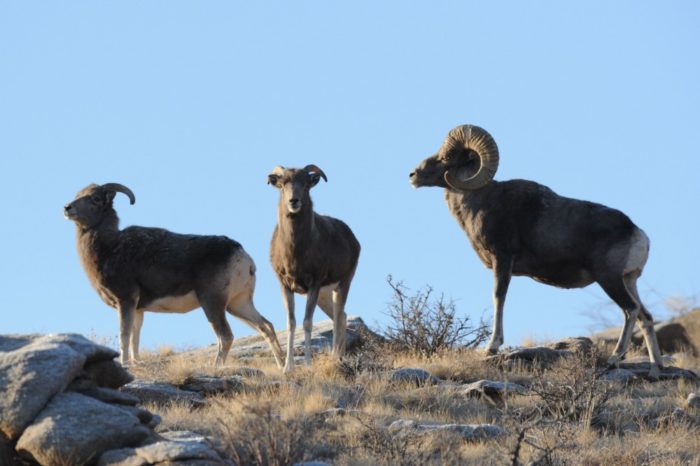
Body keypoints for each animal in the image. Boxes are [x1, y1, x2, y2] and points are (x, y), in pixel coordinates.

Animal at [63, 182, 284, 368]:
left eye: (95, 198)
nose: (67, 208)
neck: (109, 248)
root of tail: (243, 256)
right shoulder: (138, 309)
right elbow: (135, 337)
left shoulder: (125, 300)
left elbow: (124, 335)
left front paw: (125, 364)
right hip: (238, 304)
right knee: (266, 327)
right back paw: (283, 367)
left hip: (213, 303)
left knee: (226, 336)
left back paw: (215, 367)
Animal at [266, 166, 358, 374]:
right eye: (283, 184)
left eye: (306, 185)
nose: (294, 201)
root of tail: (353, 239)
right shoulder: (285, 285)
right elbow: (291, 323)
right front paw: (287, 368)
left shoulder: (314, 285)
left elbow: (307, 323)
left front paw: (308, 365)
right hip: (325, 295)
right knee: (341, 317)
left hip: (343, 285)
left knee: (339, 317)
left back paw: (336, 357)